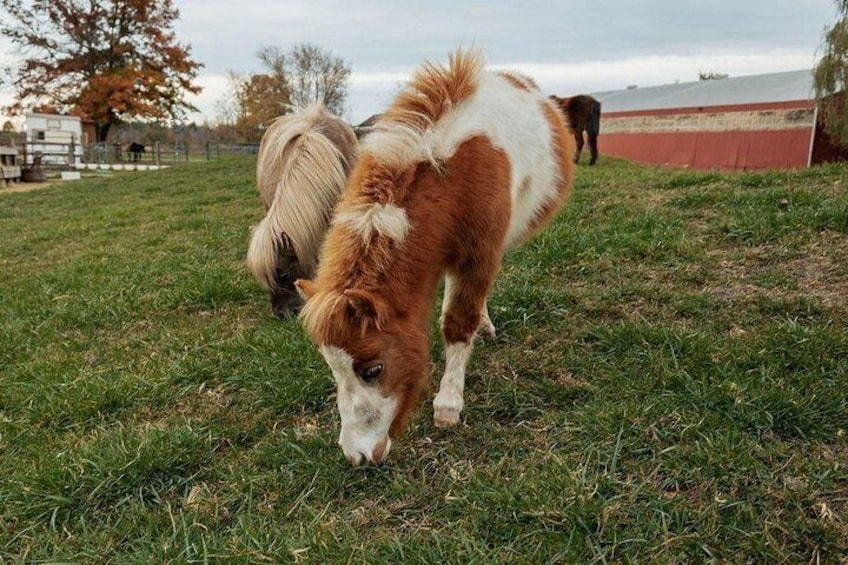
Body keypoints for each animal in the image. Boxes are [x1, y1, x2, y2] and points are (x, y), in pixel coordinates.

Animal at [295, 49, 576, 466]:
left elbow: (458, 322)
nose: (356, 455)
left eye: (373, 369)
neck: (454, 171)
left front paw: (448, 405)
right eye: (332, 368)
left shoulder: (478, 257)